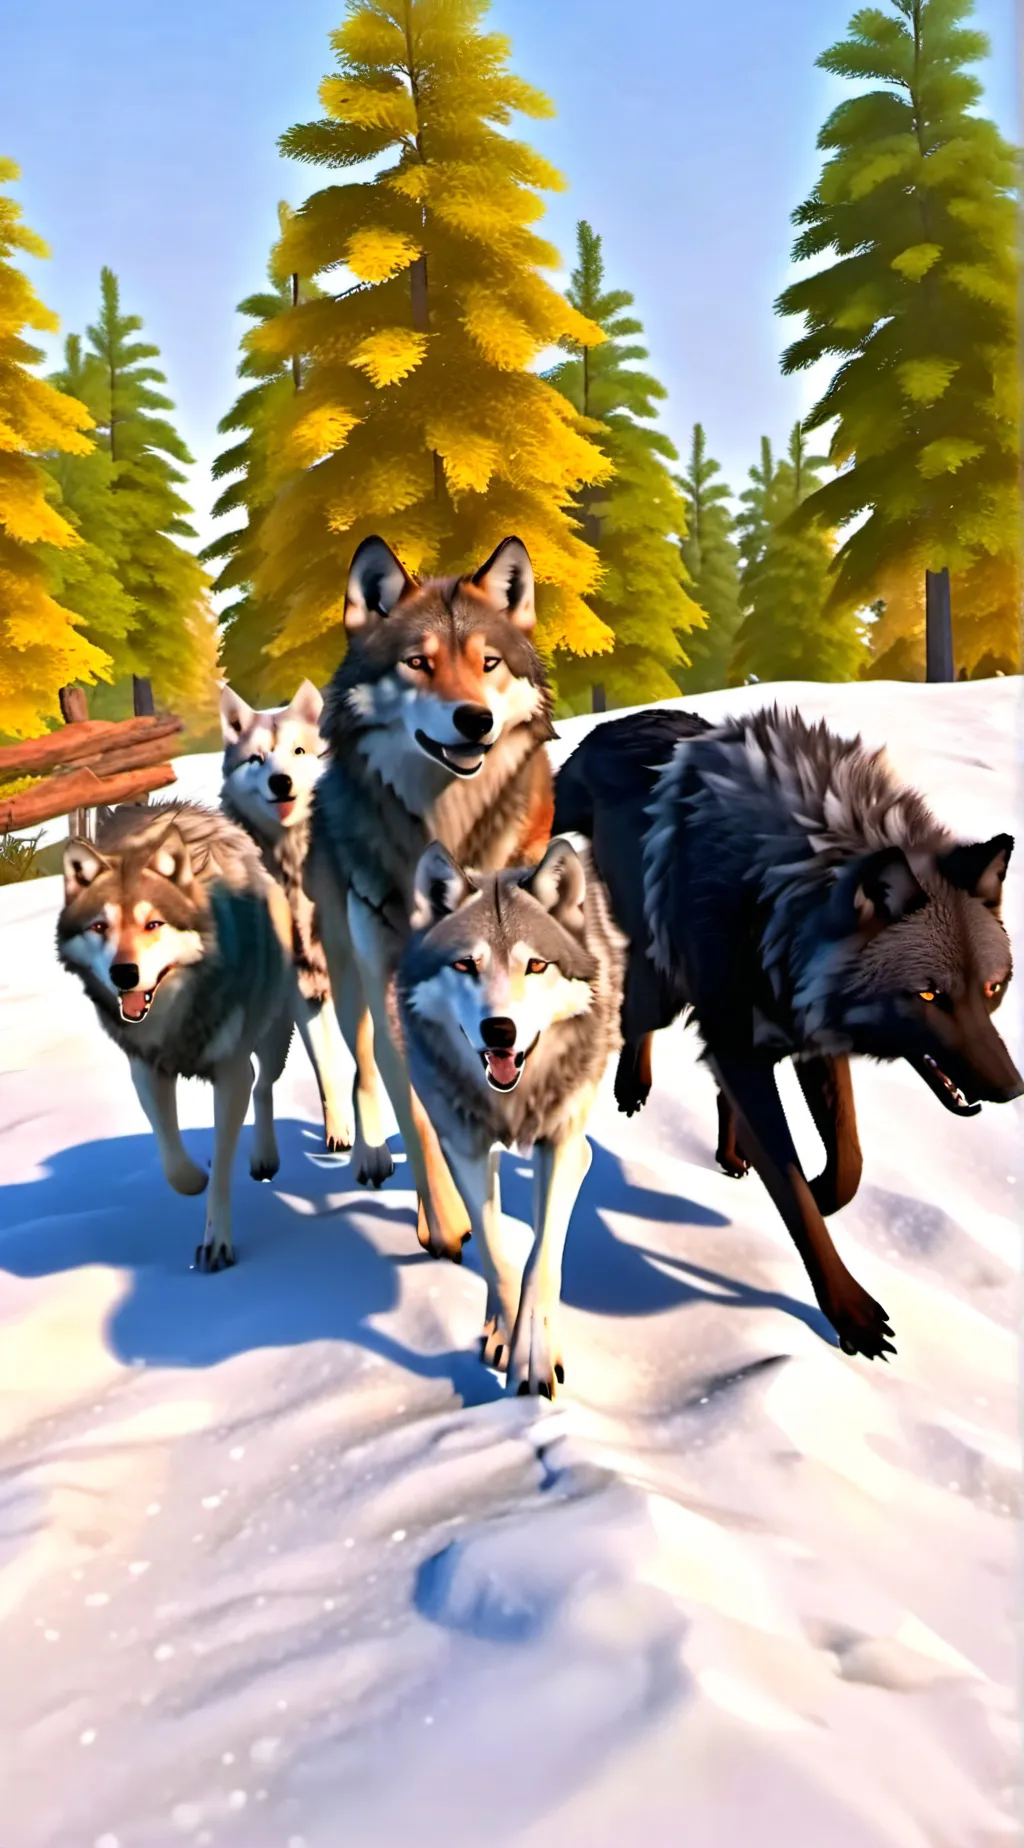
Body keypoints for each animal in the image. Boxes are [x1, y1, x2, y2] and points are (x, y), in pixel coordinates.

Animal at [57, 802, 297, 1271]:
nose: (124, 973)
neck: (175, 1016)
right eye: (100, 927)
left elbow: (223, 1166)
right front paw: (195, 1176)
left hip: (273, 1033)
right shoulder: (146, 1069)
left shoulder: (230, 1073)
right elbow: (173, 1163)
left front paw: (216, 1243)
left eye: (153, 924)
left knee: (264, 1084)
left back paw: (264, 1155)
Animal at [219, 677, 355, 1154]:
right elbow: (328, 1071)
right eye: (256, 759)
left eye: (298, 752)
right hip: (276, 1030)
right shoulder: (307, 990)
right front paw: (341, 1133)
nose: (281, 781)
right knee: (260, 1084)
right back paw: (264, 1158)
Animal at [307, 533, 555, 1262]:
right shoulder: (393, 982)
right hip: (348, 975)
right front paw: (445, 1222)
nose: (474, 720)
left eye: (488, 662)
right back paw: (368, 1156)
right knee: (361, 1065)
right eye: (418, 663)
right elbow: (414, 1108)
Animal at [396, 836, 624, 1396]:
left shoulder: (565, 1147)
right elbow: (496, 1255)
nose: (499, 1030)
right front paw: (504, 1335)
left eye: (536, 966)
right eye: (465, 965)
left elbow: (539, 1262)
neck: (512, 1102)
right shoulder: (466, 1151)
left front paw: (534, 1360)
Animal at [553, 704, 1022, 1360]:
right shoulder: (746, 1045)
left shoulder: (812, 1038)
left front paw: (825, 1191)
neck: (779, 896)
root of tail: (615, 725)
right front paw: (851, 1314)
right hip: (661, 989)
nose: (1010, 1089)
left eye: (993, 989)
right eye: (930, 995)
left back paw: (730, 1151)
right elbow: (794, 1195)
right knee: (632, 1016)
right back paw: (633, 1090)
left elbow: (849, 1159)